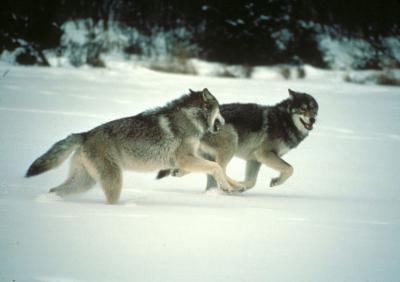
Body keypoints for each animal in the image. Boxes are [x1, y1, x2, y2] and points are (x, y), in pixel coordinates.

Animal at [25, 88, 244, 203]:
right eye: (220, 110)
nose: (225, 122)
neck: (191, 118)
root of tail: (85, 134)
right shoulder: (185, 159)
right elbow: (217, 167)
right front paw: (226, 187)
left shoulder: (188, 159)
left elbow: (220, 169)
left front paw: (236, 186)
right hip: (113, 180)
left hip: (84, 182)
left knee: (55, 190)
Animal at [156, 90, 318, 192]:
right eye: (303, 109)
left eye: (314, 110)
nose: (313, 119)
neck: (284, 121)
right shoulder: (264, 154)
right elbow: (290, 168)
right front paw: (275, 181)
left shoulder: (255, 159)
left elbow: (252, 182)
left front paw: (241, 185)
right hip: (231, 143)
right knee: (219, 168)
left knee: (202, 168)